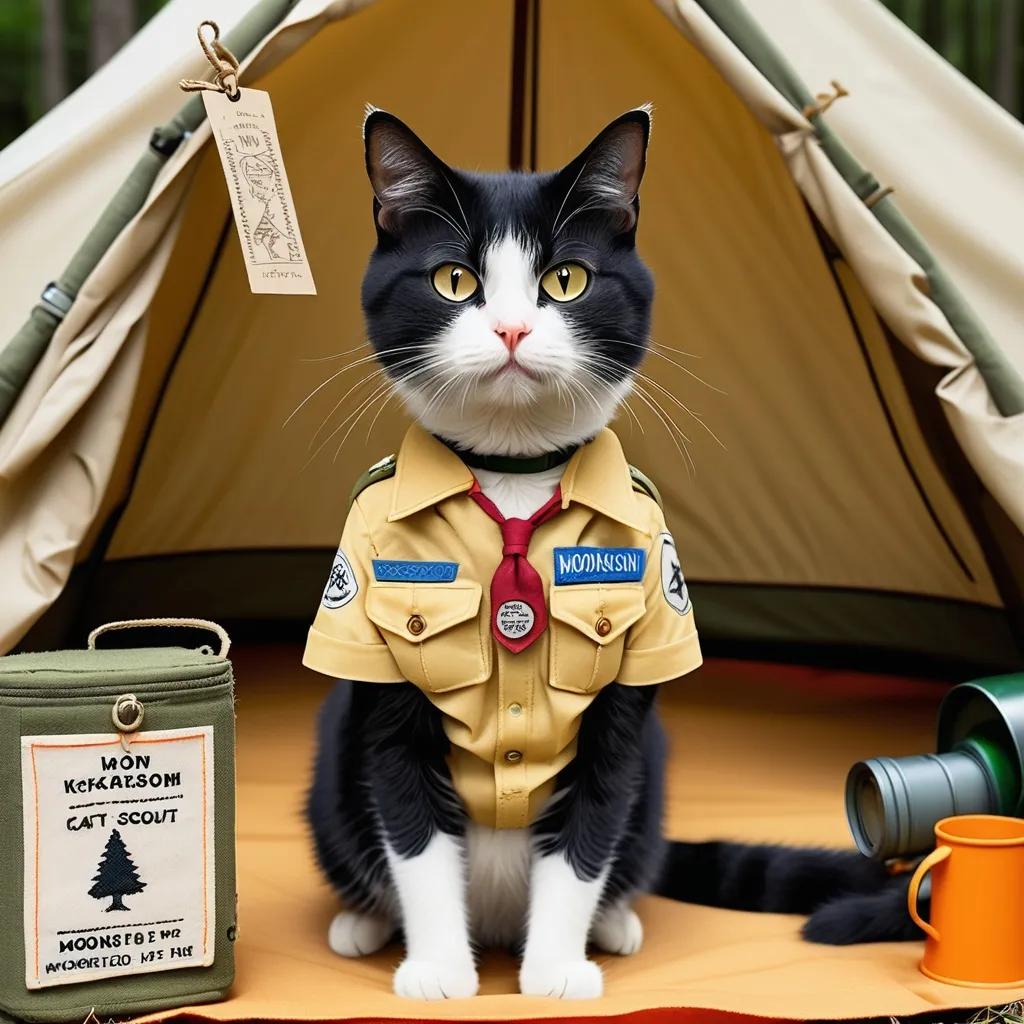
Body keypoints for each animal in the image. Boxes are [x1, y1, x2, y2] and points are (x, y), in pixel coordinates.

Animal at [305, 103, 921, 999]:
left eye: (567, 280)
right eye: (455, 280)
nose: (513, 327)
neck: (514, 477)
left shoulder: (633, 687)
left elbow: (591, 827)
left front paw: (556, 970)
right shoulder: (380, 693)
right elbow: (412, 827)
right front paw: (441, 972)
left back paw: (616, 923)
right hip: (329, 769)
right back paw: (363, 922)